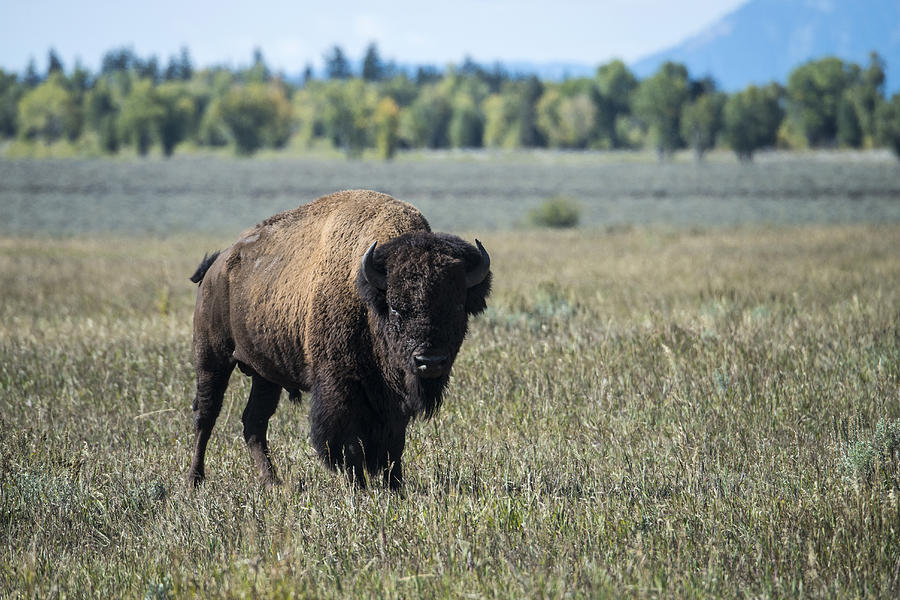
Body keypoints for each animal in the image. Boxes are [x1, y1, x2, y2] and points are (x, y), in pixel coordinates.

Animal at [185, 190, 492, 490]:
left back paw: (272, 483)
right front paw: (357, 485)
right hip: (212, 359)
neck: (369, 300)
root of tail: (216, 267)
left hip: (265, 374)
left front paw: (395, 486)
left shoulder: (392, 398)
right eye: (395, 306)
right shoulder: (339, 387)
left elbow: (394, 443)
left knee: (254, 421)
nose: (429, 361)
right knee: (206, 415)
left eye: (457, 306)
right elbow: (346, 442)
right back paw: (195, 480)